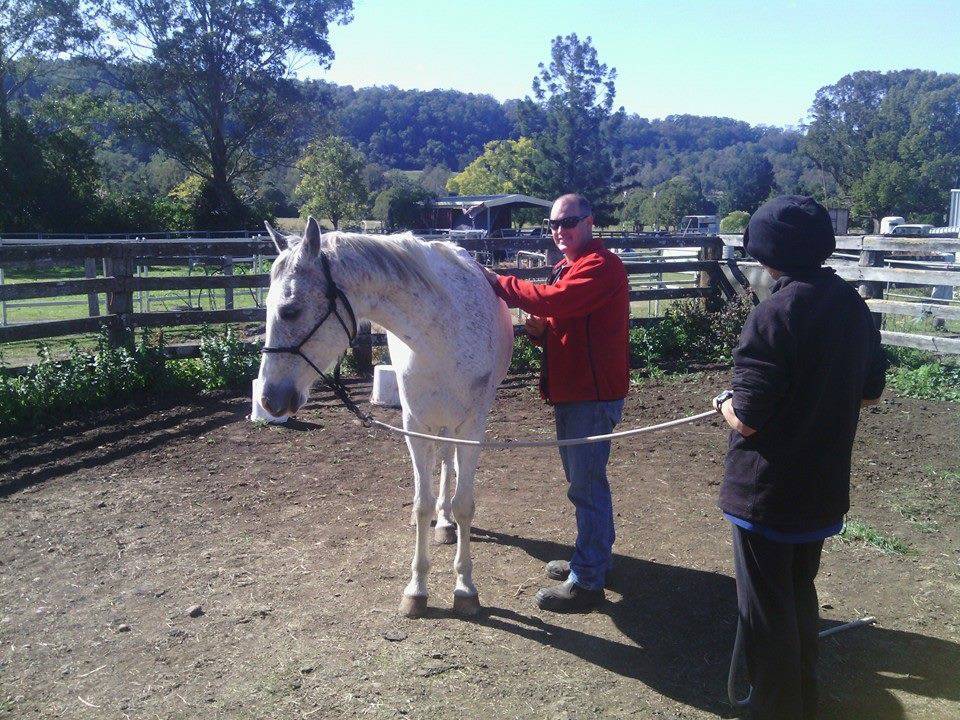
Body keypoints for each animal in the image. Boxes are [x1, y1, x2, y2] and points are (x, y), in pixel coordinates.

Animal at [257, 217, 514, 618]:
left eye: (290, 310)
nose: (270, 398)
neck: (439, 330)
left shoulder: (472, 428)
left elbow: (465, 504)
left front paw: (465, 587)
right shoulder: (416, 426)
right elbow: (422, 503)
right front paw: (417, 589)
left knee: (449, 467)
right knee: (440, 465)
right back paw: (442, 522)